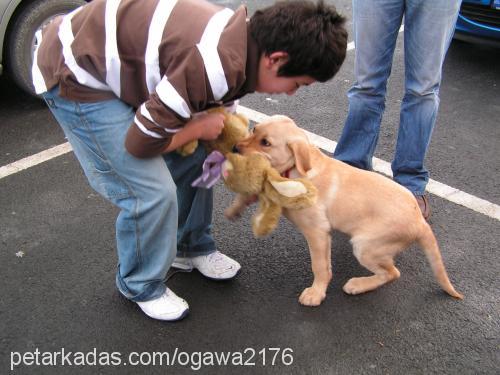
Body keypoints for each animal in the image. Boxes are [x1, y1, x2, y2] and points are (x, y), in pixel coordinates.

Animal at [232, 116, 462, 306]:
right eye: (254, 129)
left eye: (266, 143)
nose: (234, 148)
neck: (294, 171)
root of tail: (420, 221)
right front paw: (239, 204)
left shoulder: (317, 232)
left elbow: (320, 266)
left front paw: (316, 293)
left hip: (365, 246)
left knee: (392, 273)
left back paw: (358, 285)